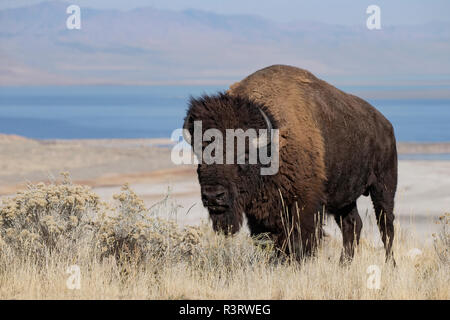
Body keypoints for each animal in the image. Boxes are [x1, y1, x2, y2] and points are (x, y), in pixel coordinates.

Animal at [183, 63, 398, 264]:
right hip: (343, 197)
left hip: (383, 187)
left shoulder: (304, 207)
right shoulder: (260, 214)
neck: (272, 145)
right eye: (200, 155)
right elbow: (269, 242)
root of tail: (386, 124)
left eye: (244, 155)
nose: (213, 196)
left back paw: (390, 265)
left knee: (386, 227)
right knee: (352, 225)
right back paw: (343, 265)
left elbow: (299, 243)